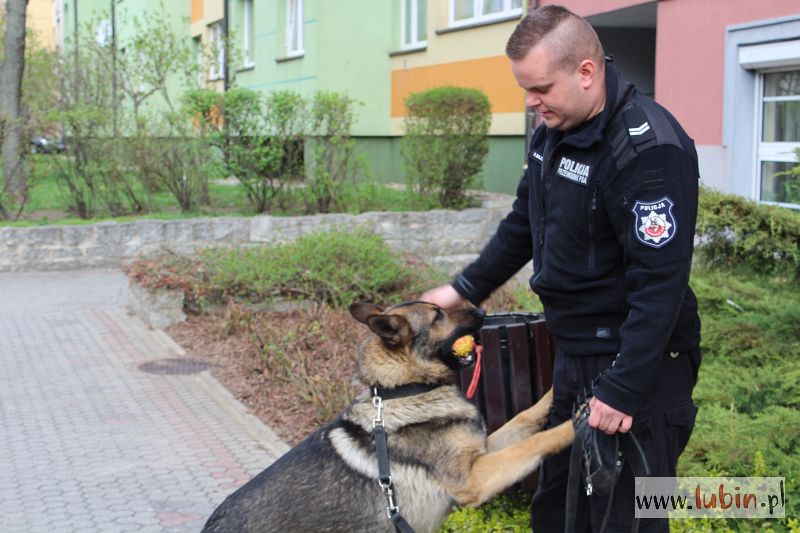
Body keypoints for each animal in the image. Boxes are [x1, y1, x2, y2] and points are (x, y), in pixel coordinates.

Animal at [203, 302, 572, 532]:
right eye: (438, 316)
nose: (482, 310)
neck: (404, 390)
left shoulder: (481, 453)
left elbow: (524, 419)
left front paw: (558, 392)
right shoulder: (474, 480)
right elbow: (534, 442)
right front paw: (574, 424)